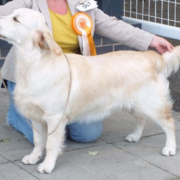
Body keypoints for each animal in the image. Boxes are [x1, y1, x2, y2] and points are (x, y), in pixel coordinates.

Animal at [0, 8, 179, 173]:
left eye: (16, 19)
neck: (33, 65)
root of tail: (151, 57)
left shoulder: (54, 117)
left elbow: (50, 144)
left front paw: (47, 165)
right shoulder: (36, 117)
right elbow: (38, 141)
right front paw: (33, 157)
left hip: (151, 104)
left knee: (169, 123)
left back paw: (170, 148)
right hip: (134, 104)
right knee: (142, 118)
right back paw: (135, 136)